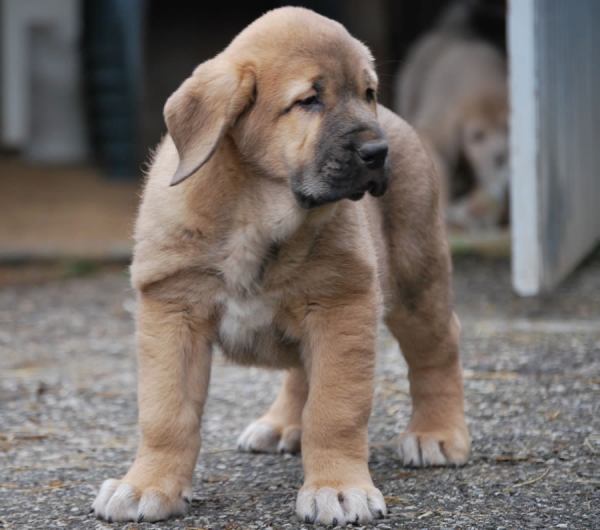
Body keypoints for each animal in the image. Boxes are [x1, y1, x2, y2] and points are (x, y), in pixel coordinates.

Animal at [91, 7, 472, 524]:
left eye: (368, 93)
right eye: (309, 100)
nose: (378, 153)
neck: (254, 212)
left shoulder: (341, 307)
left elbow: (335, 411)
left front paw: (337, 487)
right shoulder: (172, 312)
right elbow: (166, 414)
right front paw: (148, 485)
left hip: (417, 280)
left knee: (438, 348)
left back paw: (437, 433)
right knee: (301, 373)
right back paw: (283, 425)